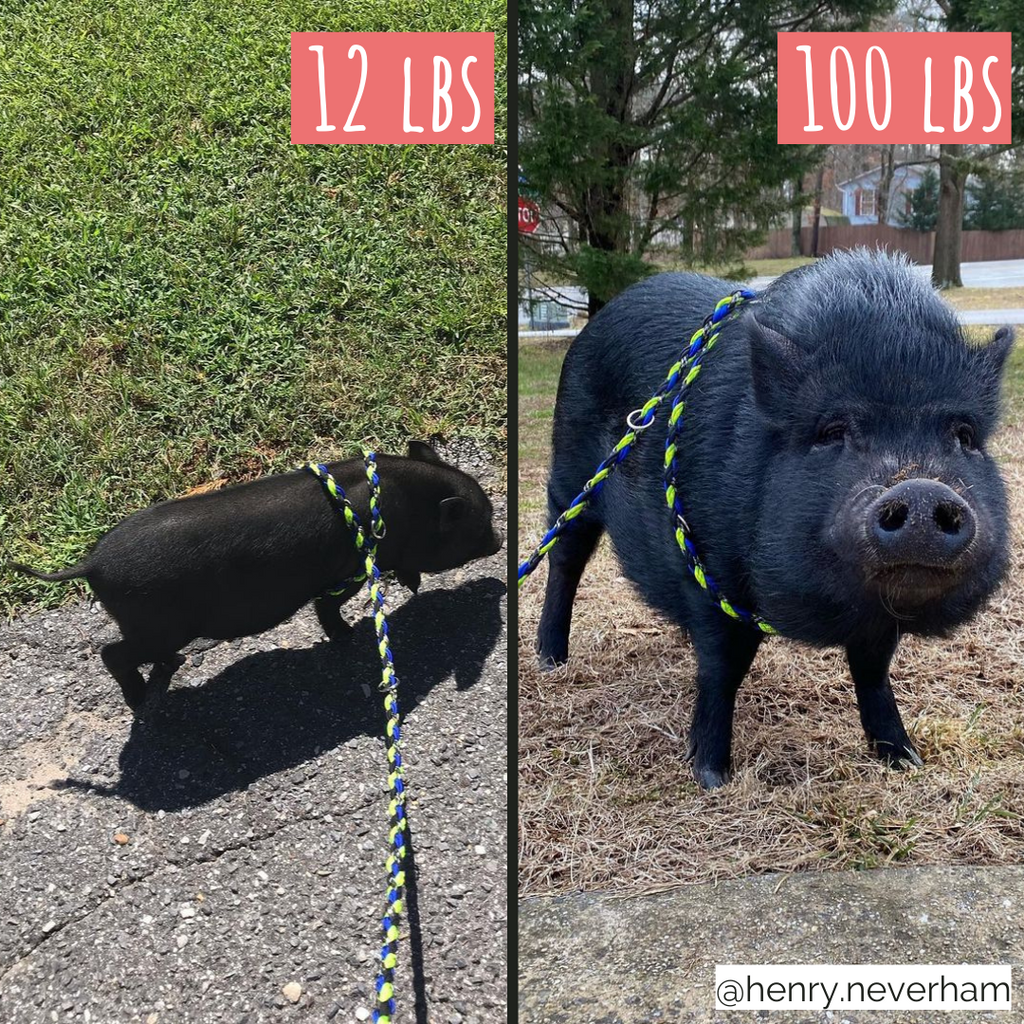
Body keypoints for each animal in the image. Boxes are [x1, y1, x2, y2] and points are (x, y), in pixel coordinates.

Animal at [14, 441, 503, 713]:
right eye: (479, 527)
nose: (499, 543)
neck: (403, 507)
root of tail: (91, 565)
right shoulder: (347, 570)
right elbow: (329, 604)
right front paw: (348, 636)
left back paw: (171, 668)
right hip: (155, 622)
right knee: (111, 653)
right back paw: (142, 701)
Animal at [538, 249, 1013, 789]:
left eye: (964, 435)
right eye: (831, 430)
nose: (921, 488)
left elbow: (873, 669)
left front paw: (905, 759)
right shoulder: (708, 566)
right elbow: (724, 666)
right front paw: (712, 777)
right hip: (570, 473)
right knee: (565, 557)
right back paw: (551, 661)